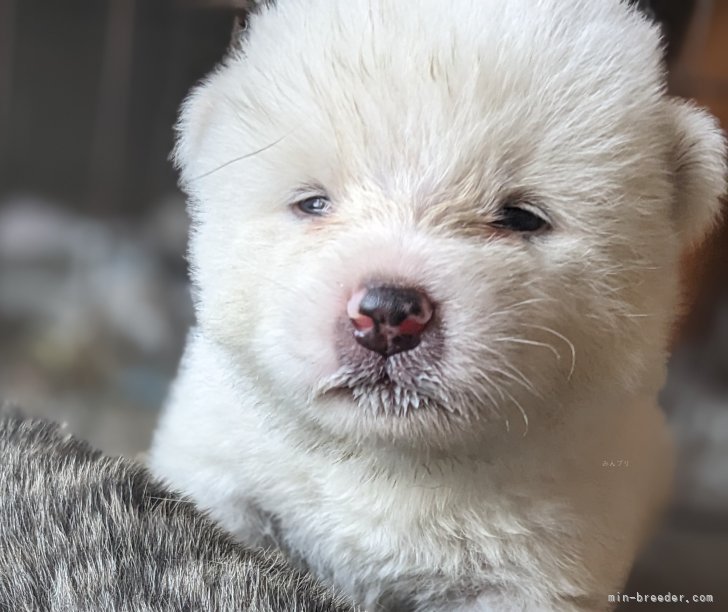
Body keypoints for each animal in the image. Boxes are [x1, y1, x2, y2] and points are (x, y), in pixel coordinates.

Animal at [151, 2, 724, 608]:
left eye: (521, 217)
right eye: (313, 203)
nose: (387, 313)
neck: (390, 466)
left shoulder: (541, 571)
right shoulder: (216, 471)